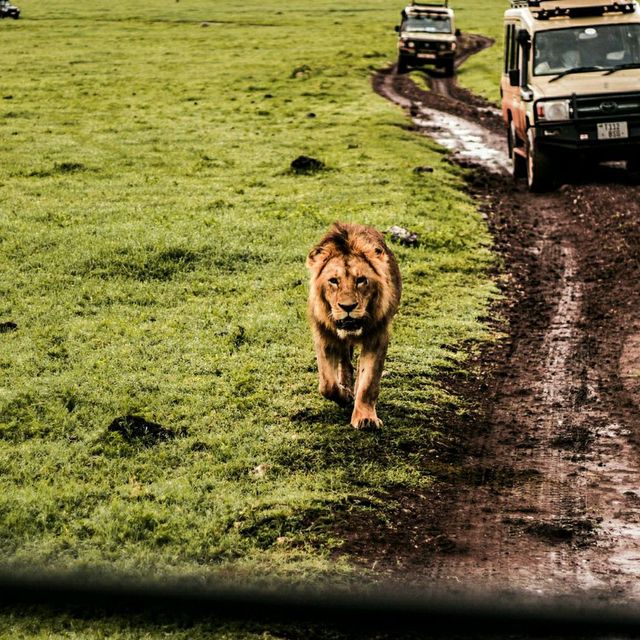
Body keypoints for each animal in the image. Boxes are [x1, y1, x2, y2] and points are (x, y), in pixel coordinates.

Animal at [304, 221, 400, 430]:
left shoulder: (378, 336)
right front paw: (344, 395)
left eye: (361, 280)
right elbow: (327, 385)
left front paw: (365, 417)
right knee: (344, 361)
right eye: (333, 281)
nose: (347, 307)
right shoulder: (324, 335)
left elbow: (369, 382)